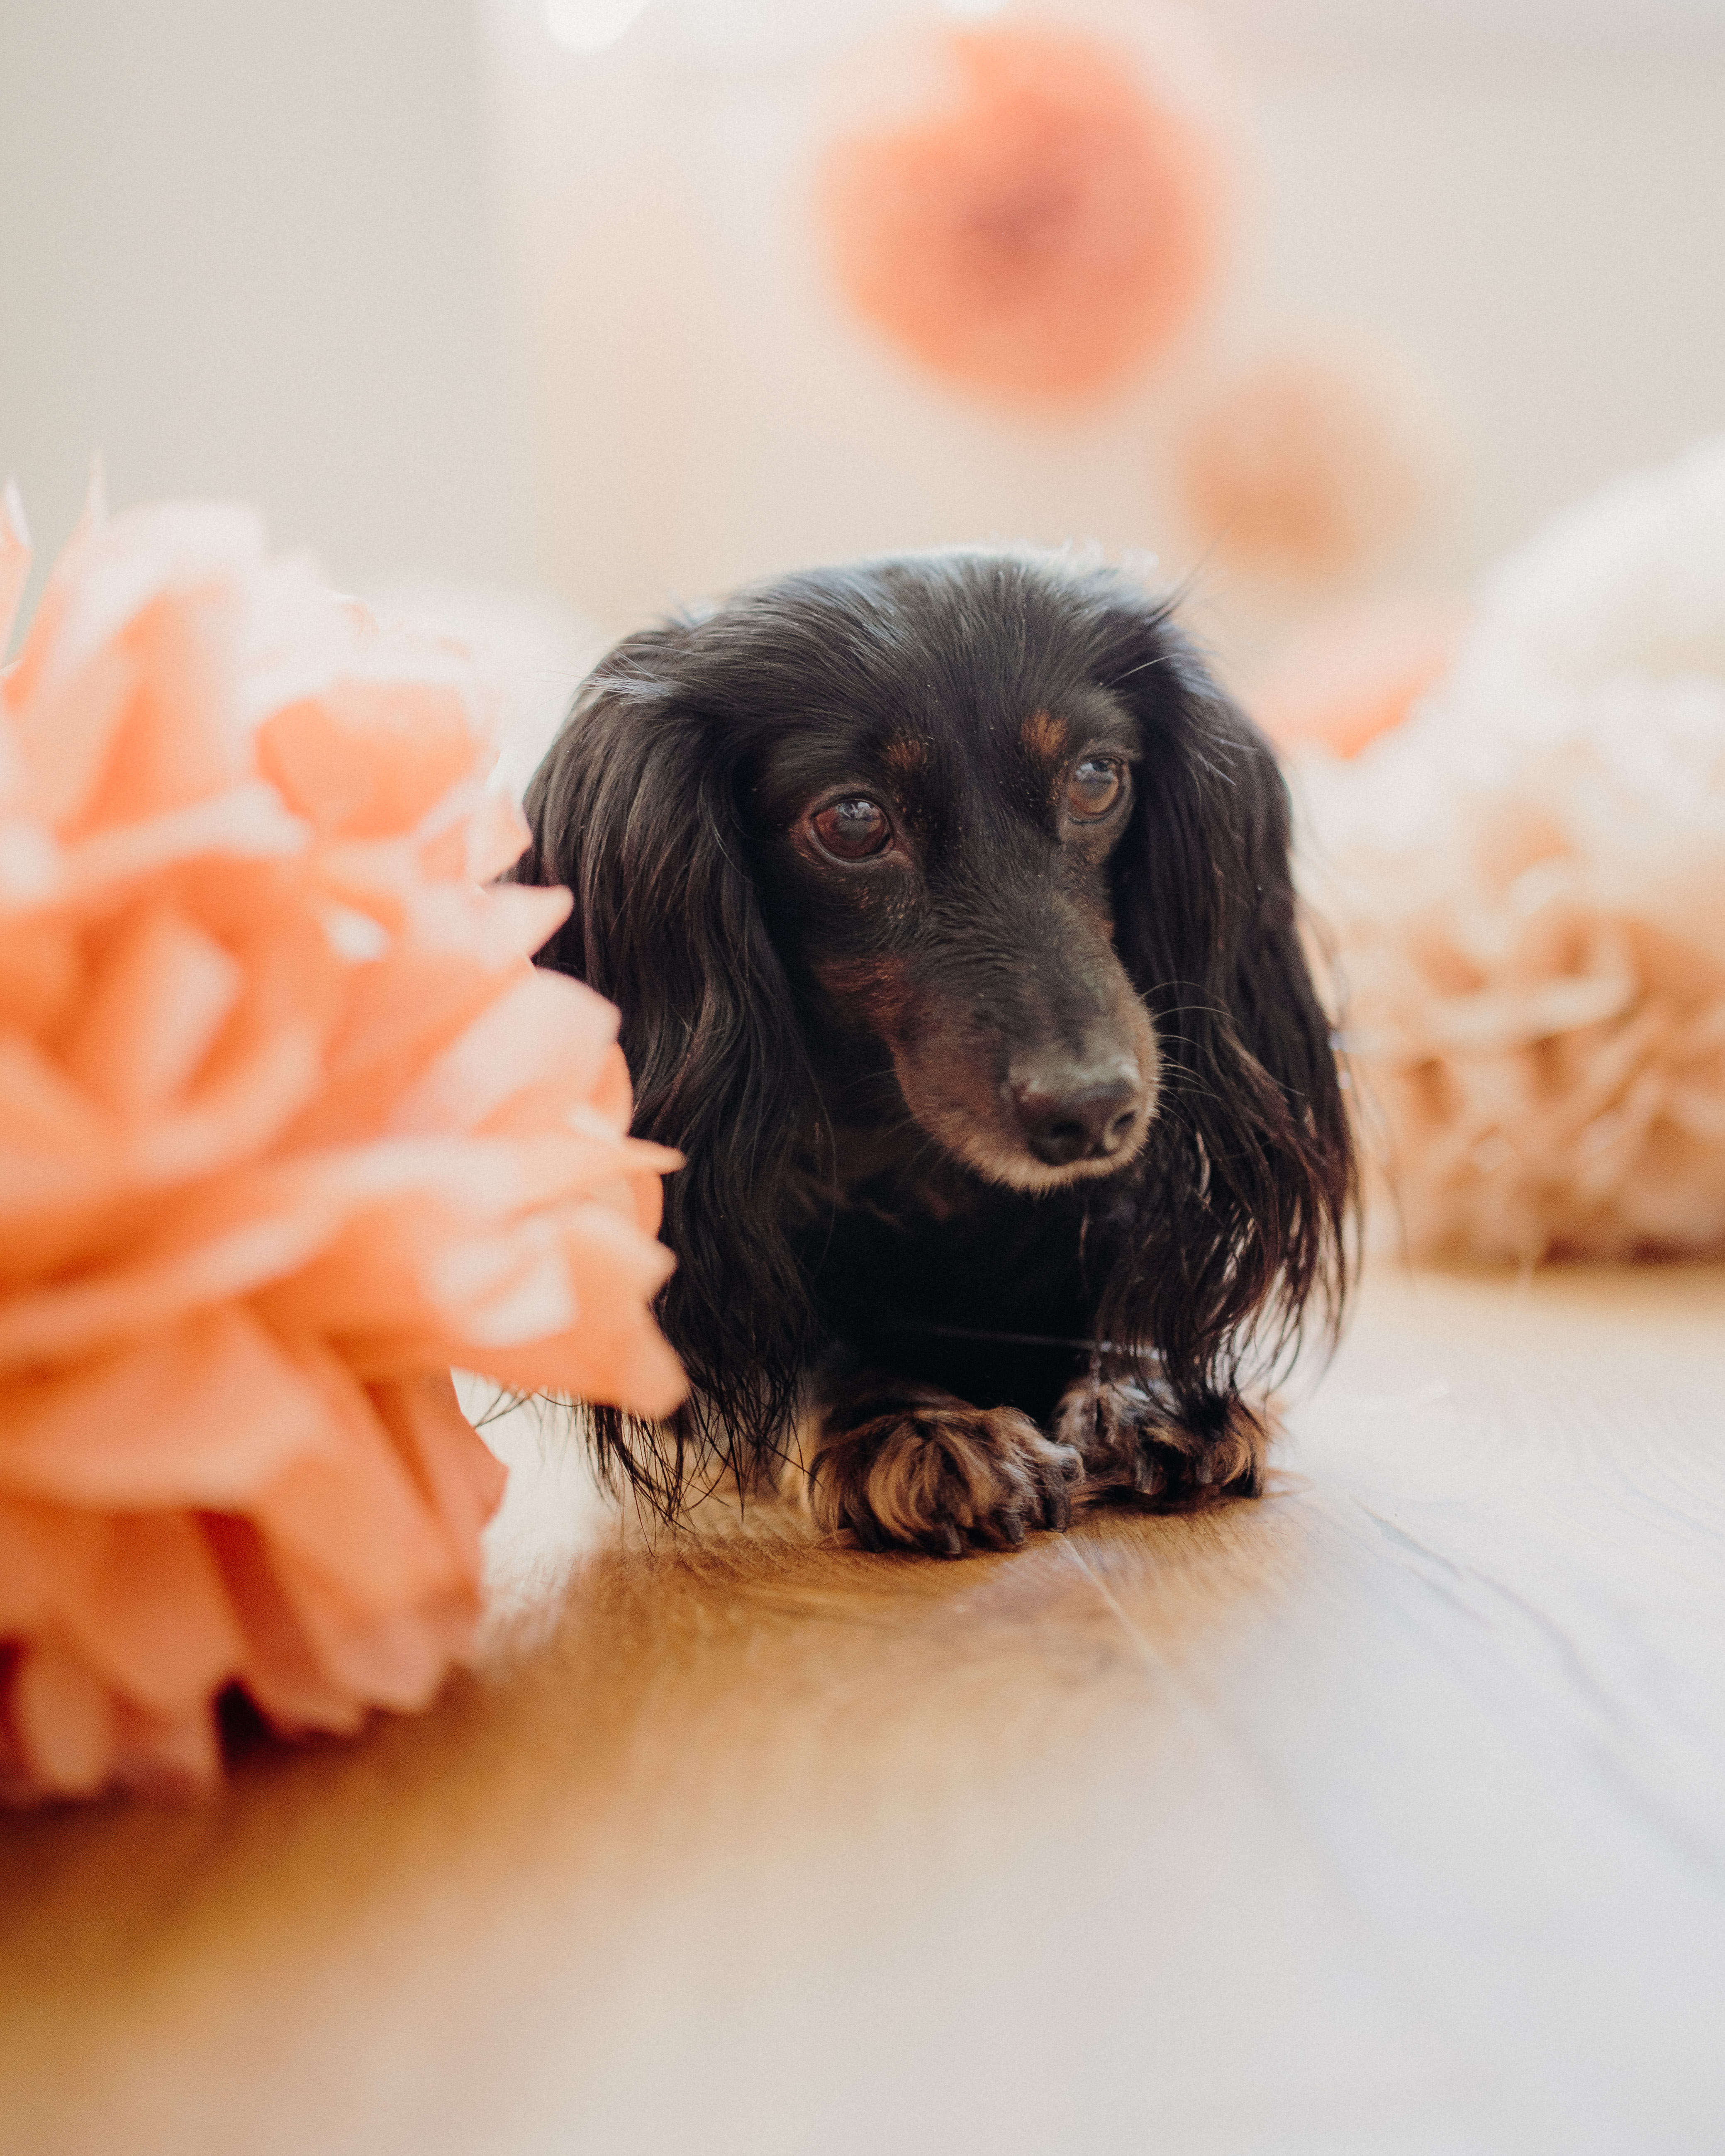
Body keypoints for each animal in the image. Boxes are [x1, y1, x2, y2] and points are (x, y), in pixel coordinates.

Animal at [519, 548, 1354, 1544]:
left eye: (1096, 778)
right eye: (850, 821)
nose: (1094, 1112)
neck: (930, 1182)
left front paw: (1149, 1379)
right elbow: (804, 1346)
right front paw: (912, 1421)